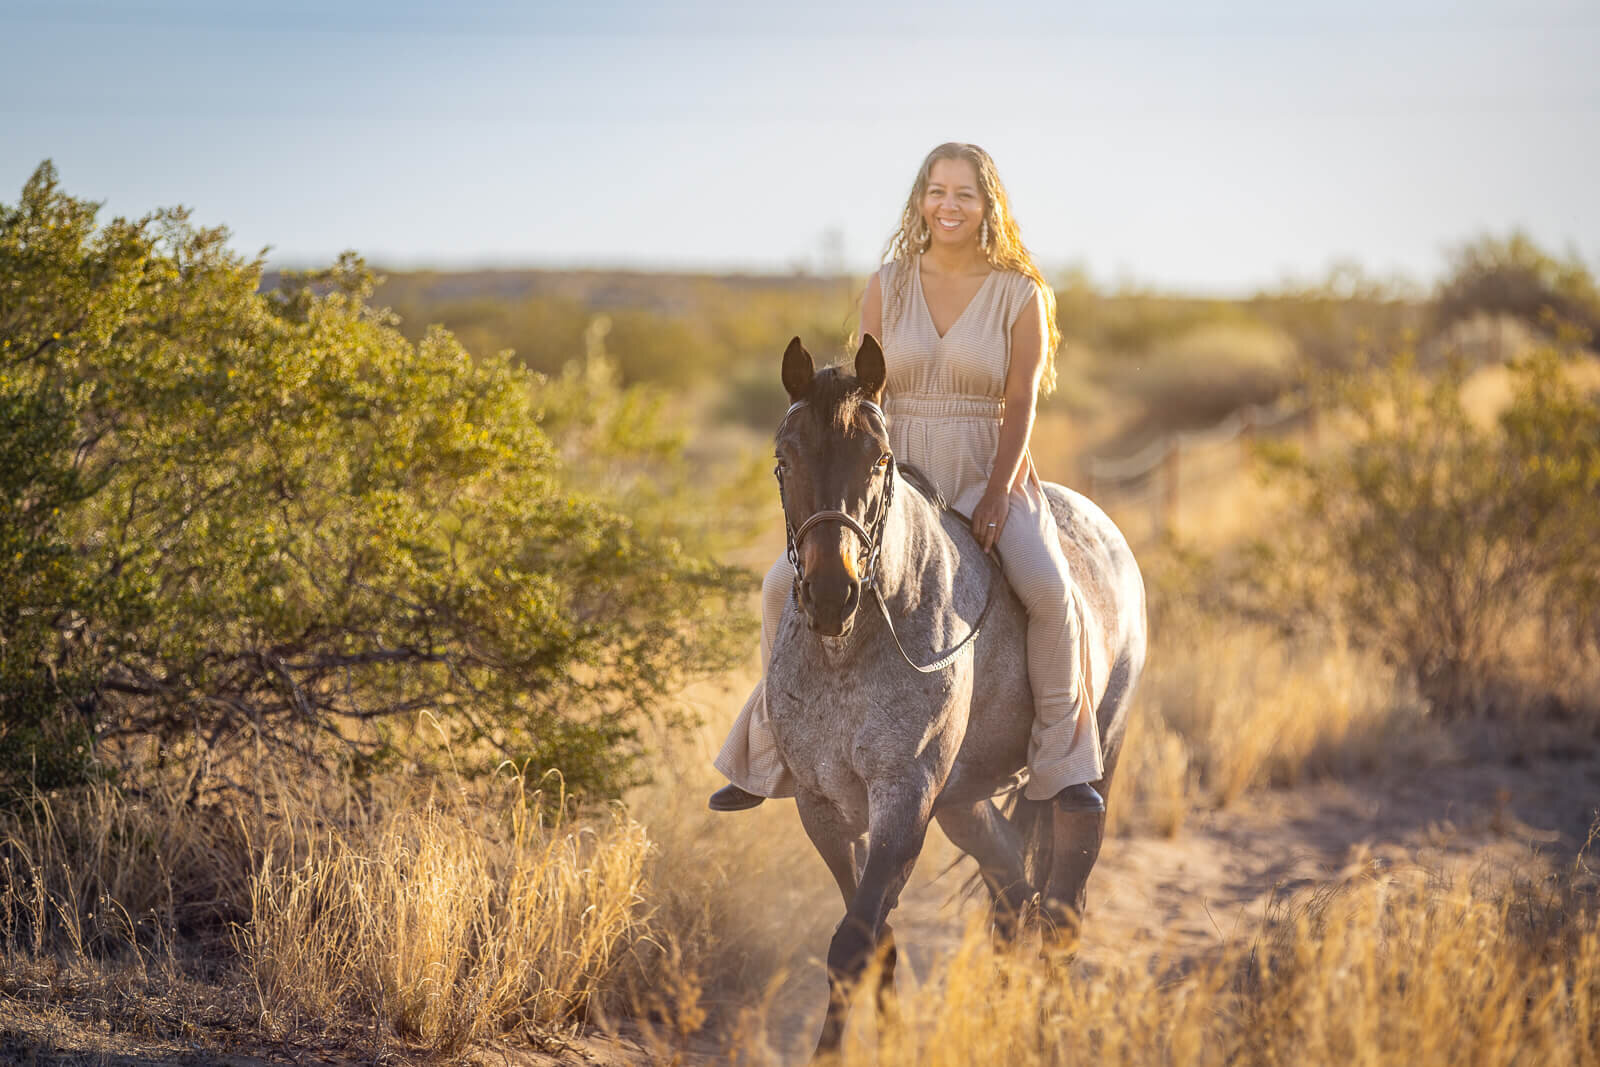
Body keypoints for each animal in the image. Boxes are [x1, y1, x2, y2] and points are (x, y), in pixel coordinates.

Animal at [764, 337, 1152, 1055]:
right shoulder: (822, 806)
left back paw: (1042, 1034)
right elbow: (875, 939)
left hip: (1094, 756)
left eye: (879, 459)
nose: (832, 595)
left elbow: (852, 944)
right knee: (1014, 898)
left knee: (1061, 912)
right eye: (784, 459)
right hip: (964, 802)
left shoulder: (904, 797)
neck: (850, 652)